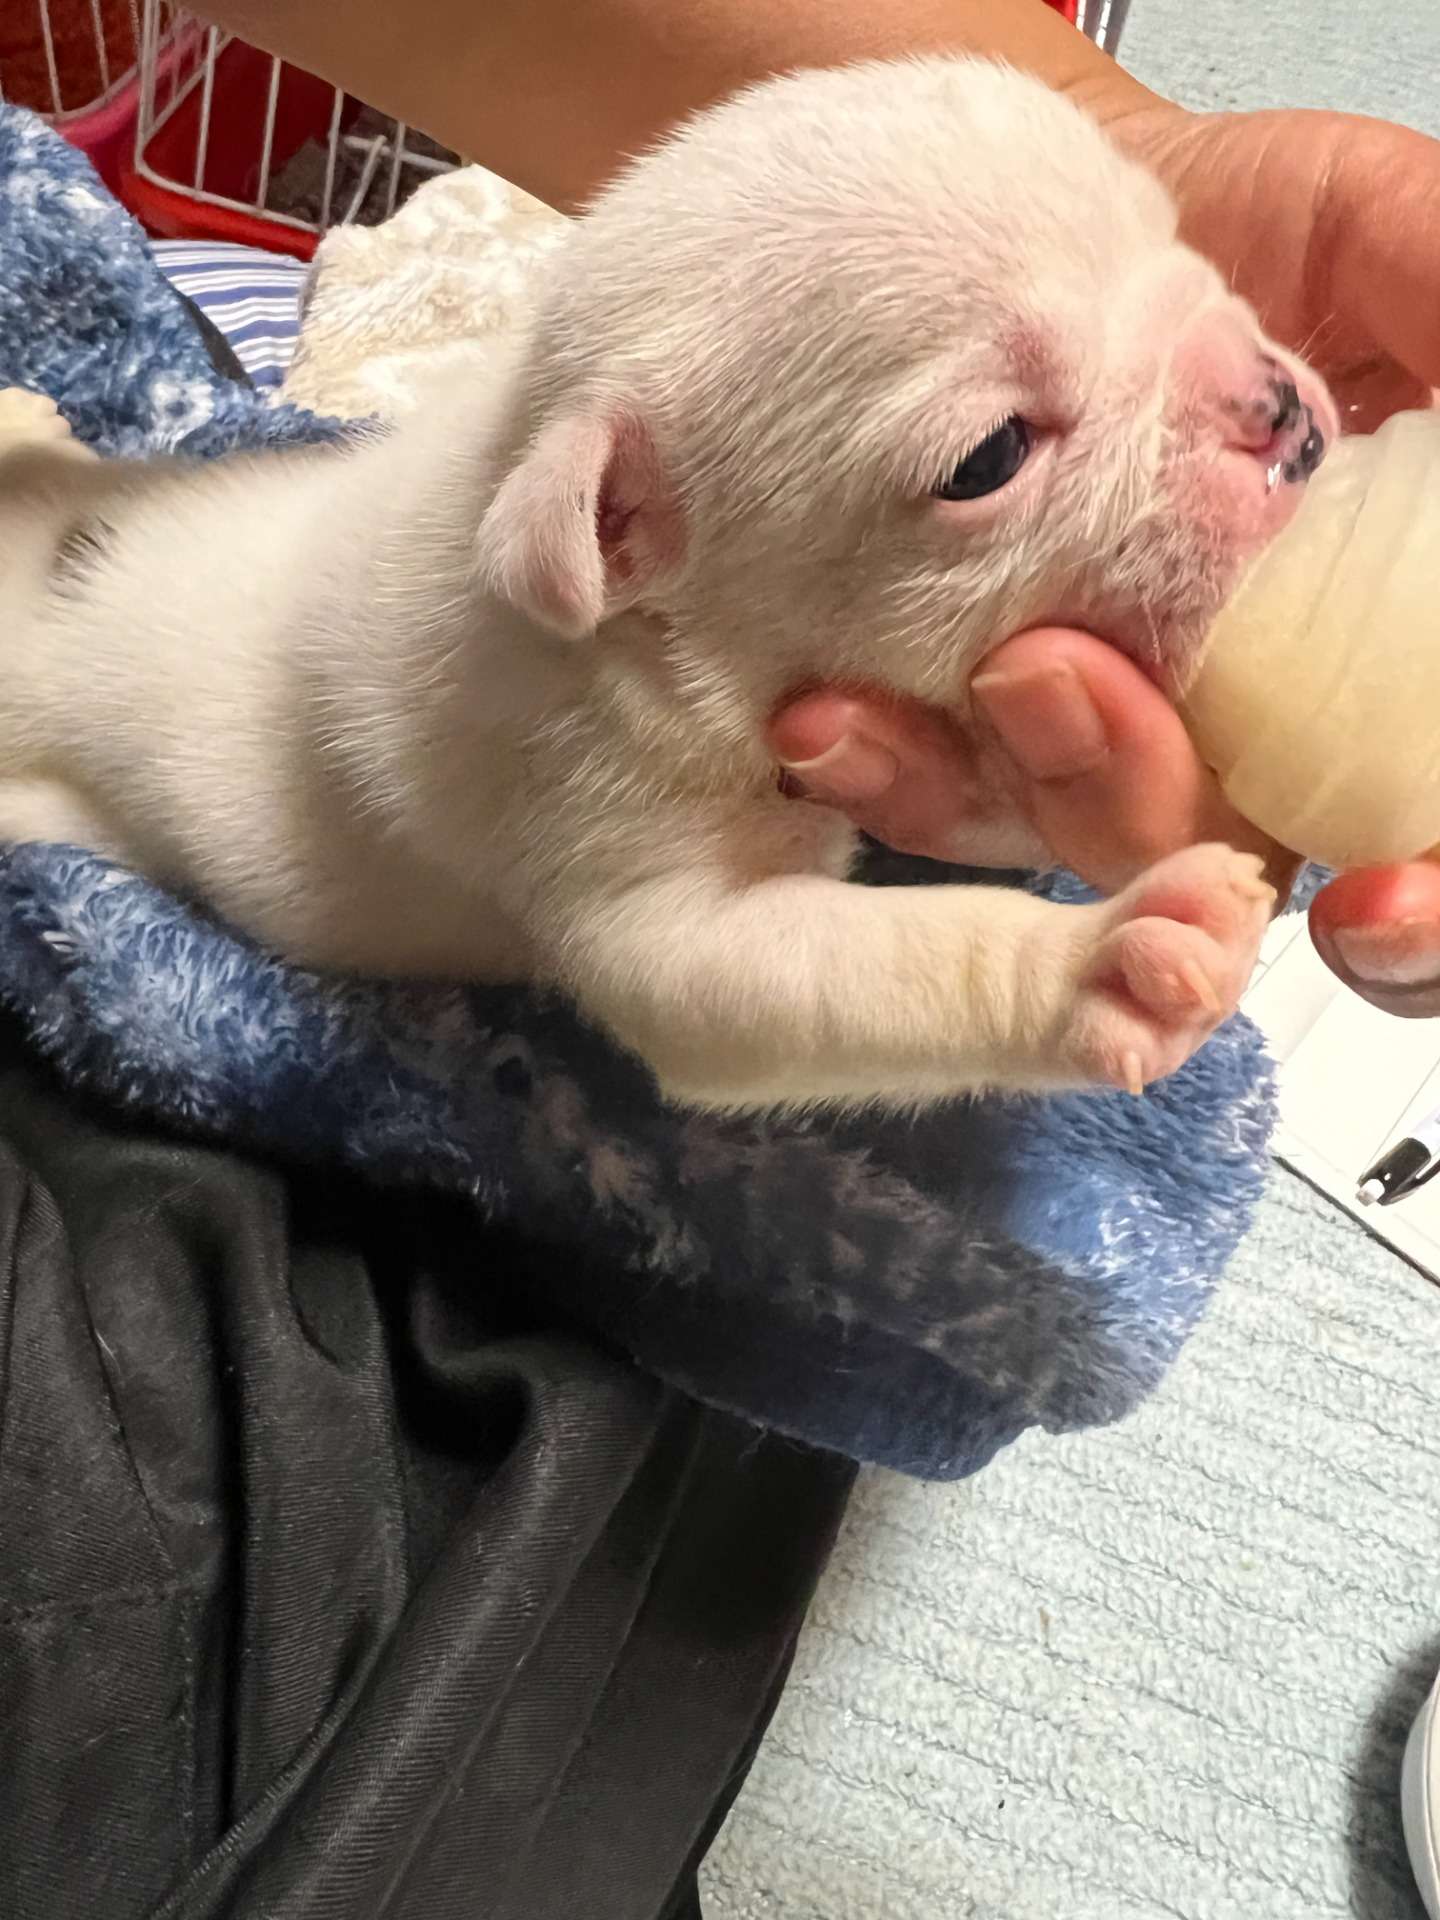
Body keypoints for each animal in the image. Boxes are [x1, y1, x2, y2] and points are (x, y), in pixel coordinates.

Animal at [0, 60, 1336, 1113]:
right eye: (990, 459)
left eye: (1178, 237)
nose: (1281, 413)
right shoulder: (617, 858)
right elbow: (803, 977)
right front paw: (1101, 962)